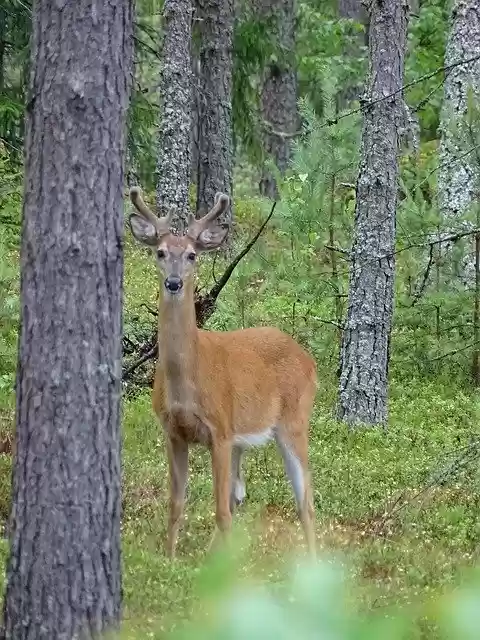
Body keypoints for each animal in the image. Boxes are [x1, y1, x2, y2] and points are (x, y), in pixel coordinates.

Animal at [127, 186, 318, 558]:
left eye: (191, 255)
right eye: (160, 252)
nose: (174, 283)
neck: (187, 381)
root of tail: (309, 360)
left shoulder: (221, 429)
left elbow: (220, 510)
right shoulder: (173, 432)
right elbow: (176, 504)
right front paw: (170, 559)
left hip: (293, 420)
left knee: (305, 499)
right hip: (246, 440)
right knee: (240, 495)